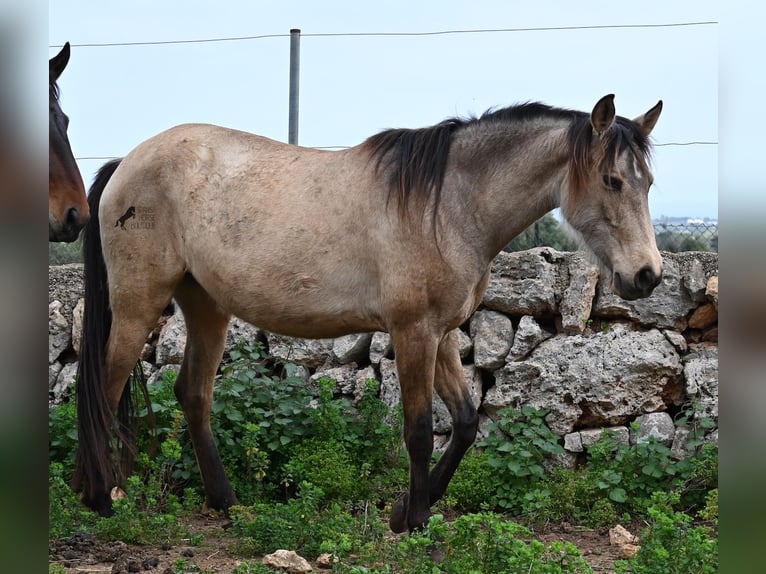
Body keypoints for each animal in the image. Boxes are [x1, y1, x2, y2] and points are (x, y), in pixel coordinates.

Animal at [76, 95, 664, 536]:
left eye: (648, 183)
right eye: (612, 180)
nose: (647, 276)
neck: (447, 205)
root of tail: (126, 163)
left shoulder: (442, 335)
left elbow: (466, 422)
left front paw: (409, 509)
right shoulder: (412, 333)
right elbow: (420, 430)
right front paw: (416, 522)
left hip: (206, 307)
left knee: (192, 394)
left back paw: (225, 502)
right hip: (138, 303)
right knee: (106, 387)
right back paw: (99, 497)